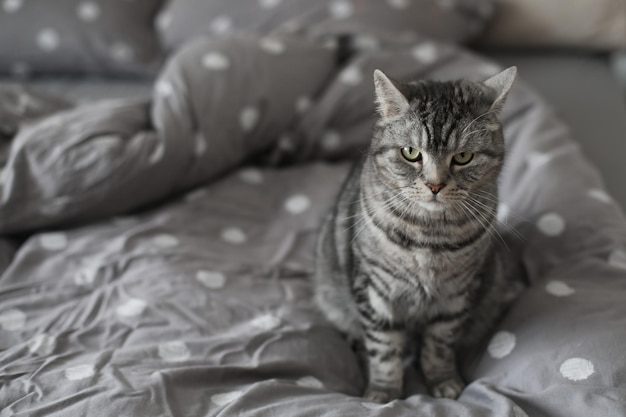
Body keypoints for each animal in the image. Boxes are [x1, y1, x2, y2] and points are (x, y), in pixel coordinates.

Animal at [312, 66, 520, 402]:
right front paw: (383, 394)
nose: (435, 185)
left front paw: (444, 381)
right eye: (410, 153)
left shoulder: (456, 294)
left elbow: (439, 344)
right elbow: (384, 349)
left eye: (463, 156)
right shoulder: (375, 290)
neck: (429, 235)